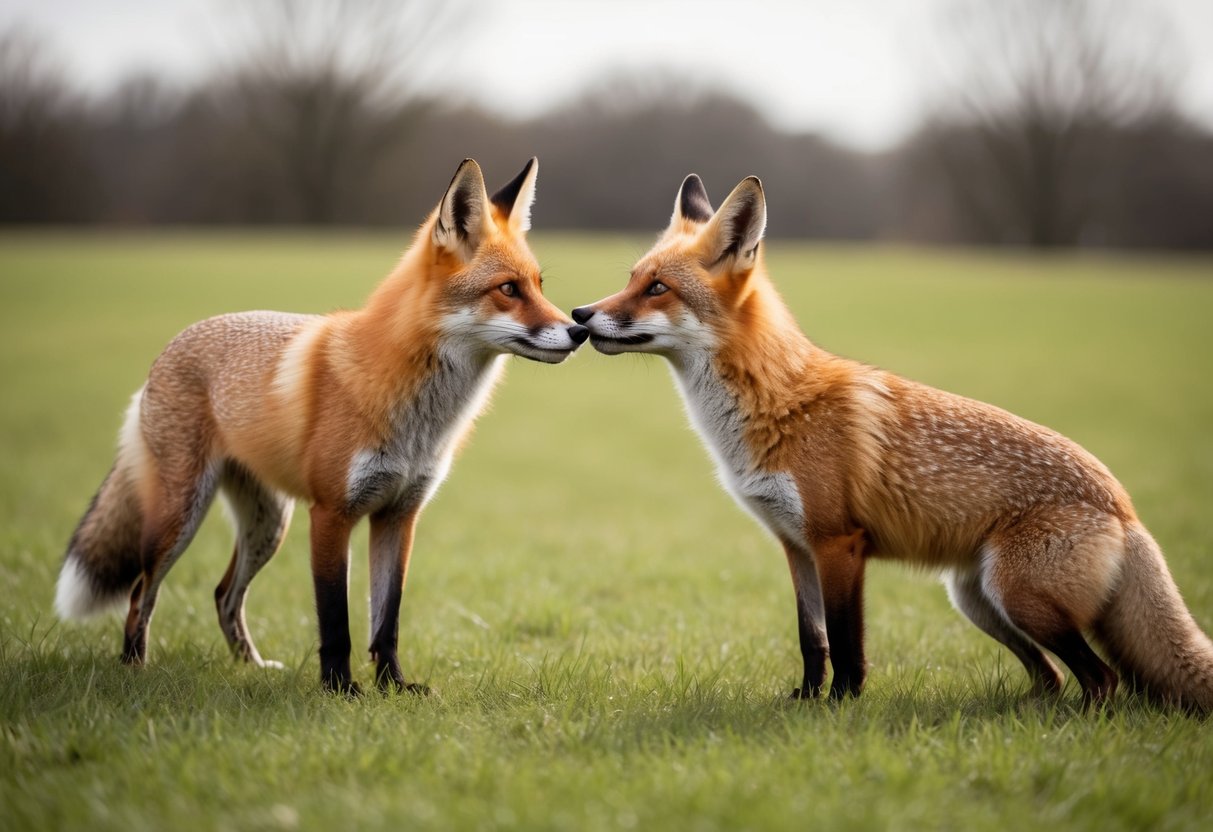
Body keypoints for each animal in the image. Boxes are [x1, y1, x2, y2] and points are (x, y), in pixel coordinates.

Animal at [55, 157, 589, 695]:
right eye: (508, 289)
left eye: (539, 286)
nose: (579, 330)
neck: (419, 419)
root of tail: (171, 347)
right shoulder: (331, 513)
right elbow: (336, 620)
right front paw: (339, 689)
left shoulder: (399, 514)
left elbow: (386, 619)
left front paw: (393, 686)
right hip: (180, 517)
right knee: (141, 593)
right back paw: (133, 666)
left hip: (268, 524)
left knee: (224, 594)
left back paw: (251, 666)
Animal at [572, 172, 1213, 711]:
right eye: (631, 280)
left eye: (656, 288)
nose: (580, 314)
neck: (775, 404)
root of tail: (1125, 505)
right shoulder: (794, 544)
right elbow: (812, 638)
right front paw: (805, 702)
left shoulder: (838, 543)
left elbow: (846, 641)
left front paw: (840, 708)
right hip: (979, 601)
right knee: (1051, 677)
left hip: (1020, 598)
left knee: (1101, 679)